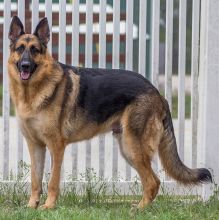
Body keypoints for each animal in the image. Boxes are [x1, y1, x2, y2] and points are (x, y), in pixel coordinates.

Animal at [7, 16, 211, 209]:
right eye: (20, 48)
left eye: (35, 50)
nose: (25, 65)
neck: (32, 91)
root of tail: (156, 91)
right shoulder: (35, 146)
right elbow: (35, 180)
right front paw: (32, 205)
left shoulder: (56, 146)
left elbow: (52, 182)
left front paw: (48, 206)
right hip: (128, 149)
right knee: (152, 182)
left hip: (132, 147)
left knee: (153, 182)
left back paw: (139, 209)